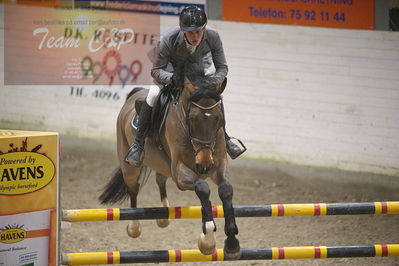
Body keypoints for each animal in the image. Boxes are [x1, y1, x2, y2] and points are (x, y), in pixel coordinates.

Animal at [99, 77, 241, 260]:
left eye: (219, 118)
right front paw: (208, 241)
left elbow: (226, 190)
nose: (204, 165)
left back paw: (164, 216)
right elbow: (203, 188)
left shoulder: (219, 166)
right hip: (129, 167)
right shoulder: (180, 173)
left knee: (160, 179)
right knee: (133, 188)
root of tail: (134, 94)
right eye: (192, 118)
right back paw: (134, 227)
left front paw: (232, 244)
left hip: (163, 165)